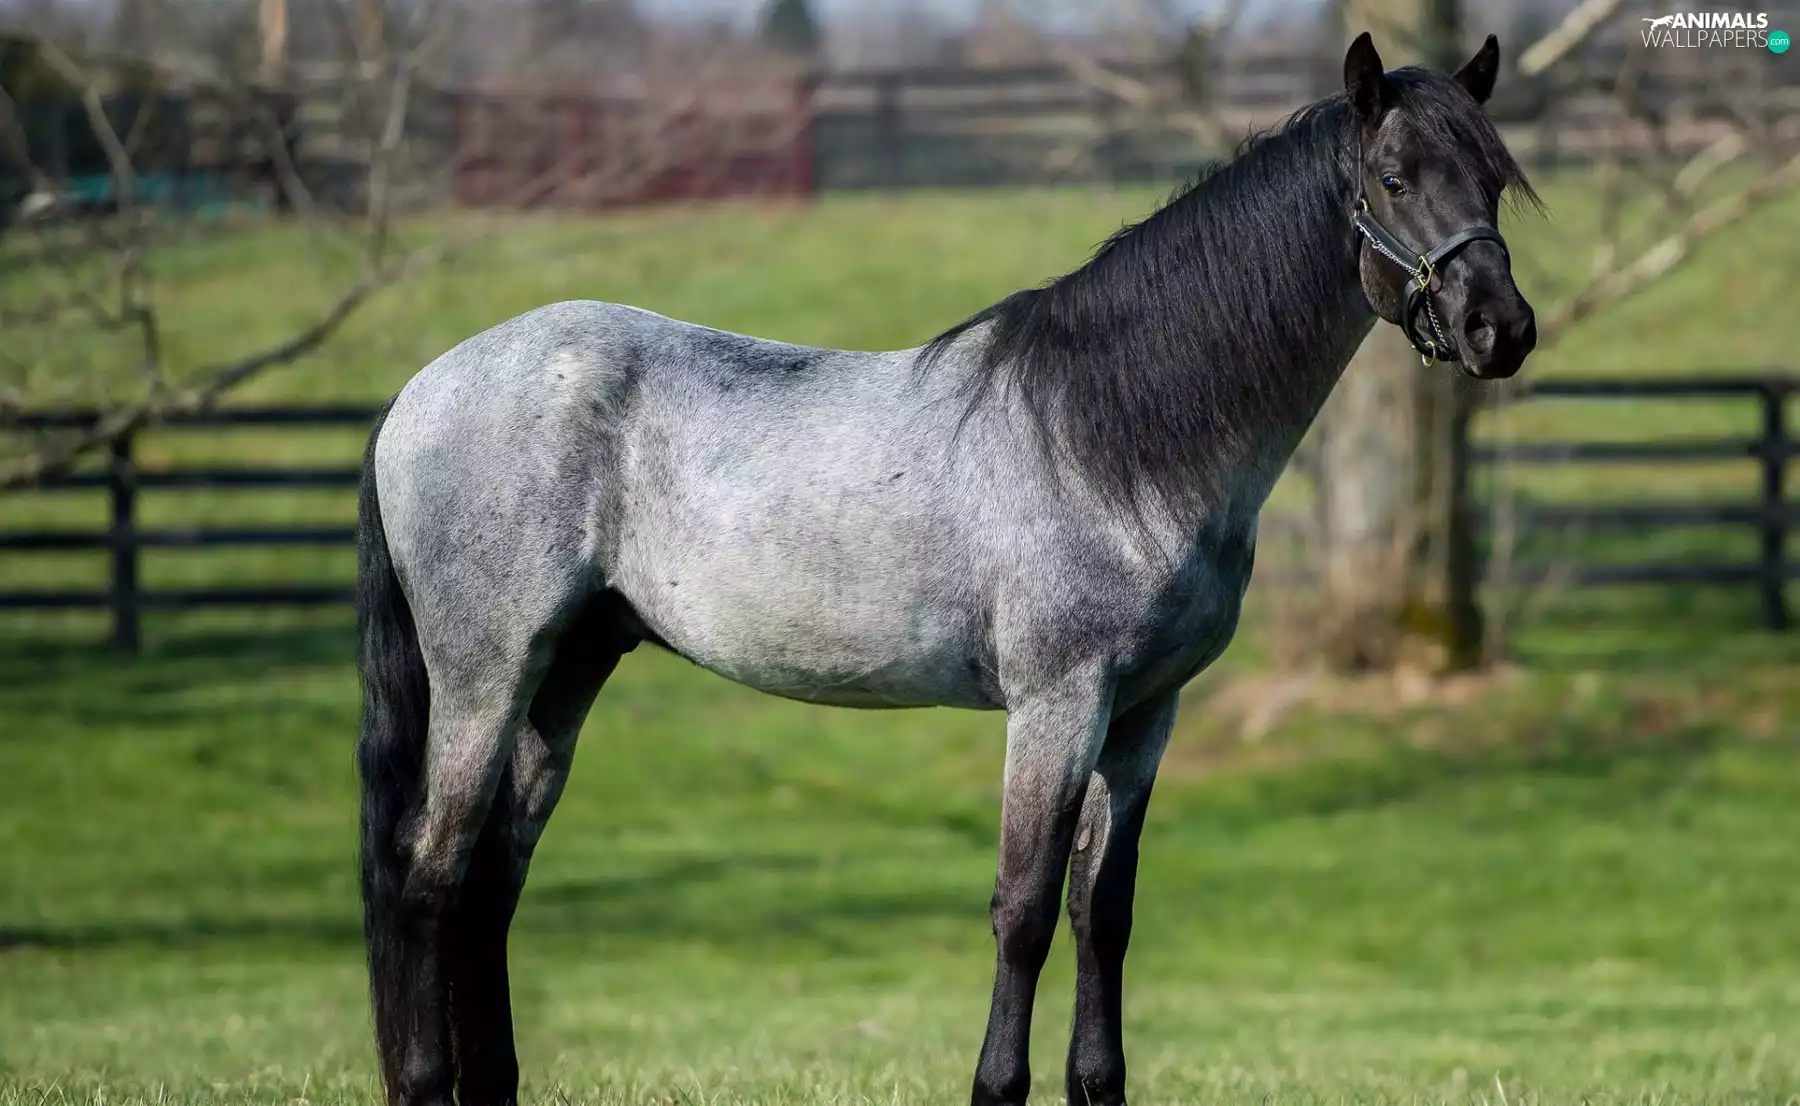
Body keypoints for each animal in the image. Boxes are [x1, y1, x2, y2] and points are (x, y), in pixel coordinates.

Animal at [354, 32, 1538, 1106]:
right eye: (1394, 179)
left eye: (1492, 178)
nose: (1502, 328)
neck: (1112, 435)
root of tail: (418, 391)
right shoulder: (1058, 703)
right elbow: (1023, 907)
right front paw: (996, 1085)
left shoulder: (1144, 714)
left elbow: (1103, 911)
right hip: (486, 675)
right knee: (431, 875)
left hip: (567, 671)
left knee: (490, 881)